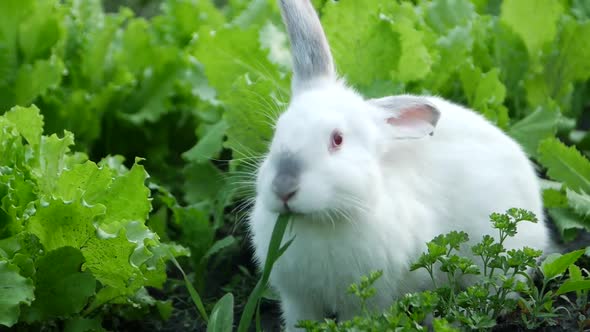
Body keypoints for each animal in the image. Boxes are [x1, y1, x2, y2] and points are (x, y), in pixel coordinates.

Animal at [247, 0, 556, 330]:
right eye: (278, 130)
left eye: (337, 139)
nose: (283, 187)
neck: (323, 219)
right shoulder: (298, 302)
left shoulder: (369, 300)